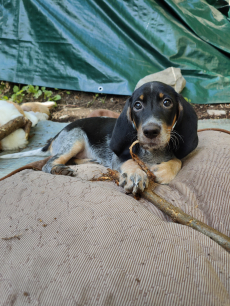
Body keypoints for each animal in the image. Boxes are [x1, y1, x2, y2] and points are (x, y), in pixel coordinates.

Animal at [0, 82, 198, 194]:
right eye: (137, 105)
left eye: (167, 102)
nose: (151, 131)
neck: (153, 153)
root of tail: (55, 137)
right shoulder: (119, 158)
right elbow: (129, 162)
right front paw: (136, 175)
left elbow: (178, 160)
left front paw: (164, 170)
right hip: (75, 139)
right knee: (48, 164)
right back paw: (59, 170)